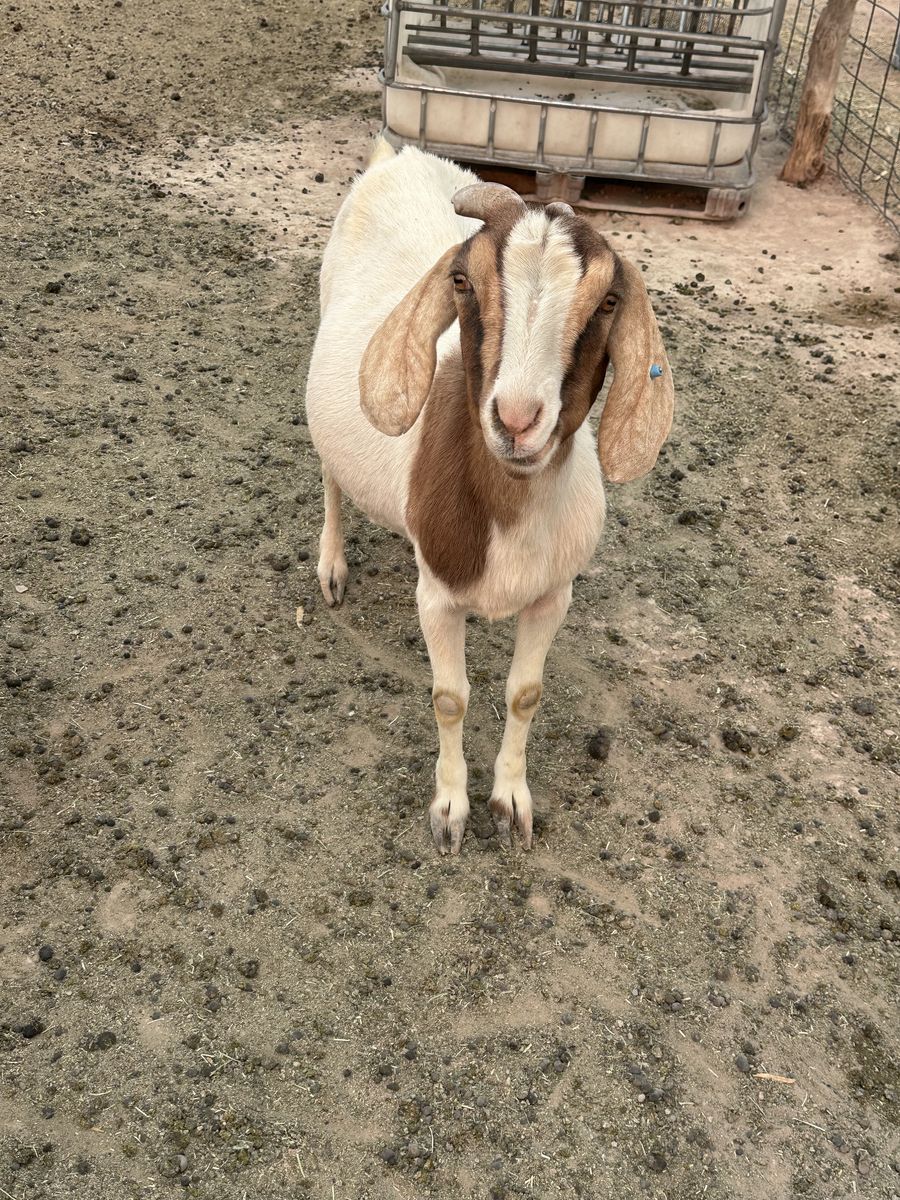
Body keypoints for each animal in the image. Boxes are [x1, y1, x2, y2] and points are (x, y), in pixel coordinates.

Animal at [305, 141, 673, 855]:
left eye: (608, 302)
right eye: (462, 282)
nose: (518, 418)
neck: (511, 510)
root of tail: (398, 154)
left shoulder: (553, 595)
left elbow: (525, 693)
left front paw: (510, 805)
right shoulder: (437, 597)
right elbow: (450, 697)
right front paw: (450, 810)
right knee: (333, 476)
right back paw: (331, 566)